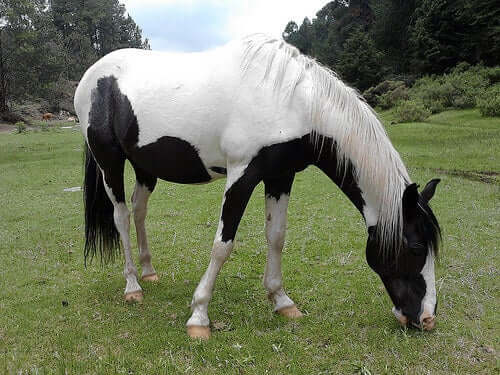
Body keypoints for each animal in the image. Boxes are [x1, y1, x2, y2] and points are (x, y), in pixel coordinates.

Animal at [74, 36, 442, 340]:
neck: (291, 101)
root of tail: (93, 75)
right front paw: (199, 316)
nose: (426, 319)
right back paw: (132, 285)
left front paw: (282, 301)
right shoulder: (242, 174)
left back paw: (149, 272)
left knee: (139, 210)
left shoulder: (280, 177)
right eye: (414, 247)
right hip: (110, 162)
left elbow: (276, 236)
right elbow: (222, 245)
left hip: (145, 167)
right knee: (121, 217)